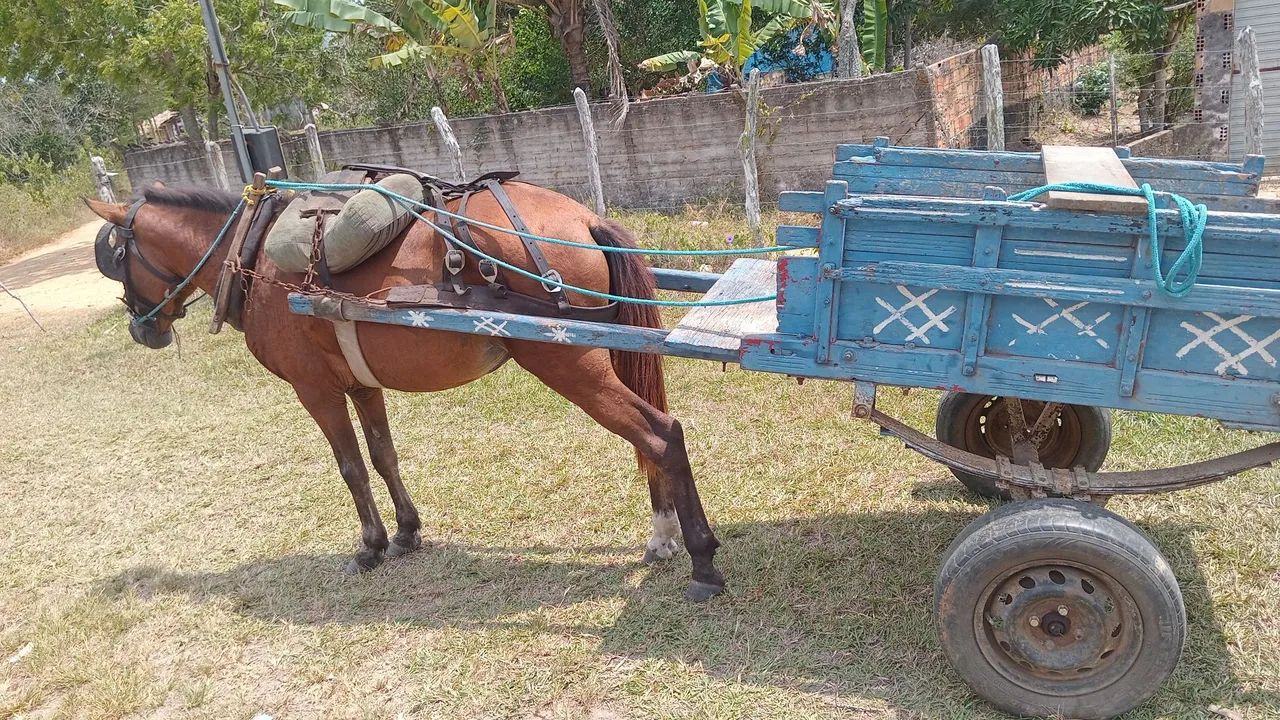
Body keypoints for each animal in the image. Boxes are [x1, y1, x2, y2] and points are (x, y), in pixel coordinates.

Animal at [85, 182, 726, 602]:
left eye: (116, 255)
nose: (141, 329)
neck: (255, 255)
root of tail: (585, 220)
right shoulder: (360, 383)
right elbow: (383, 455)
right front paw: (407, 533)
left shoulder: (315, 389)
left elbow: (350, 466)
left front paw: (369, 546)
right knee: (649, 434)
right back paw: (663, 535)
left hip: (567, 363)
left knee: (661, 433)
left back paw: (701, 560)